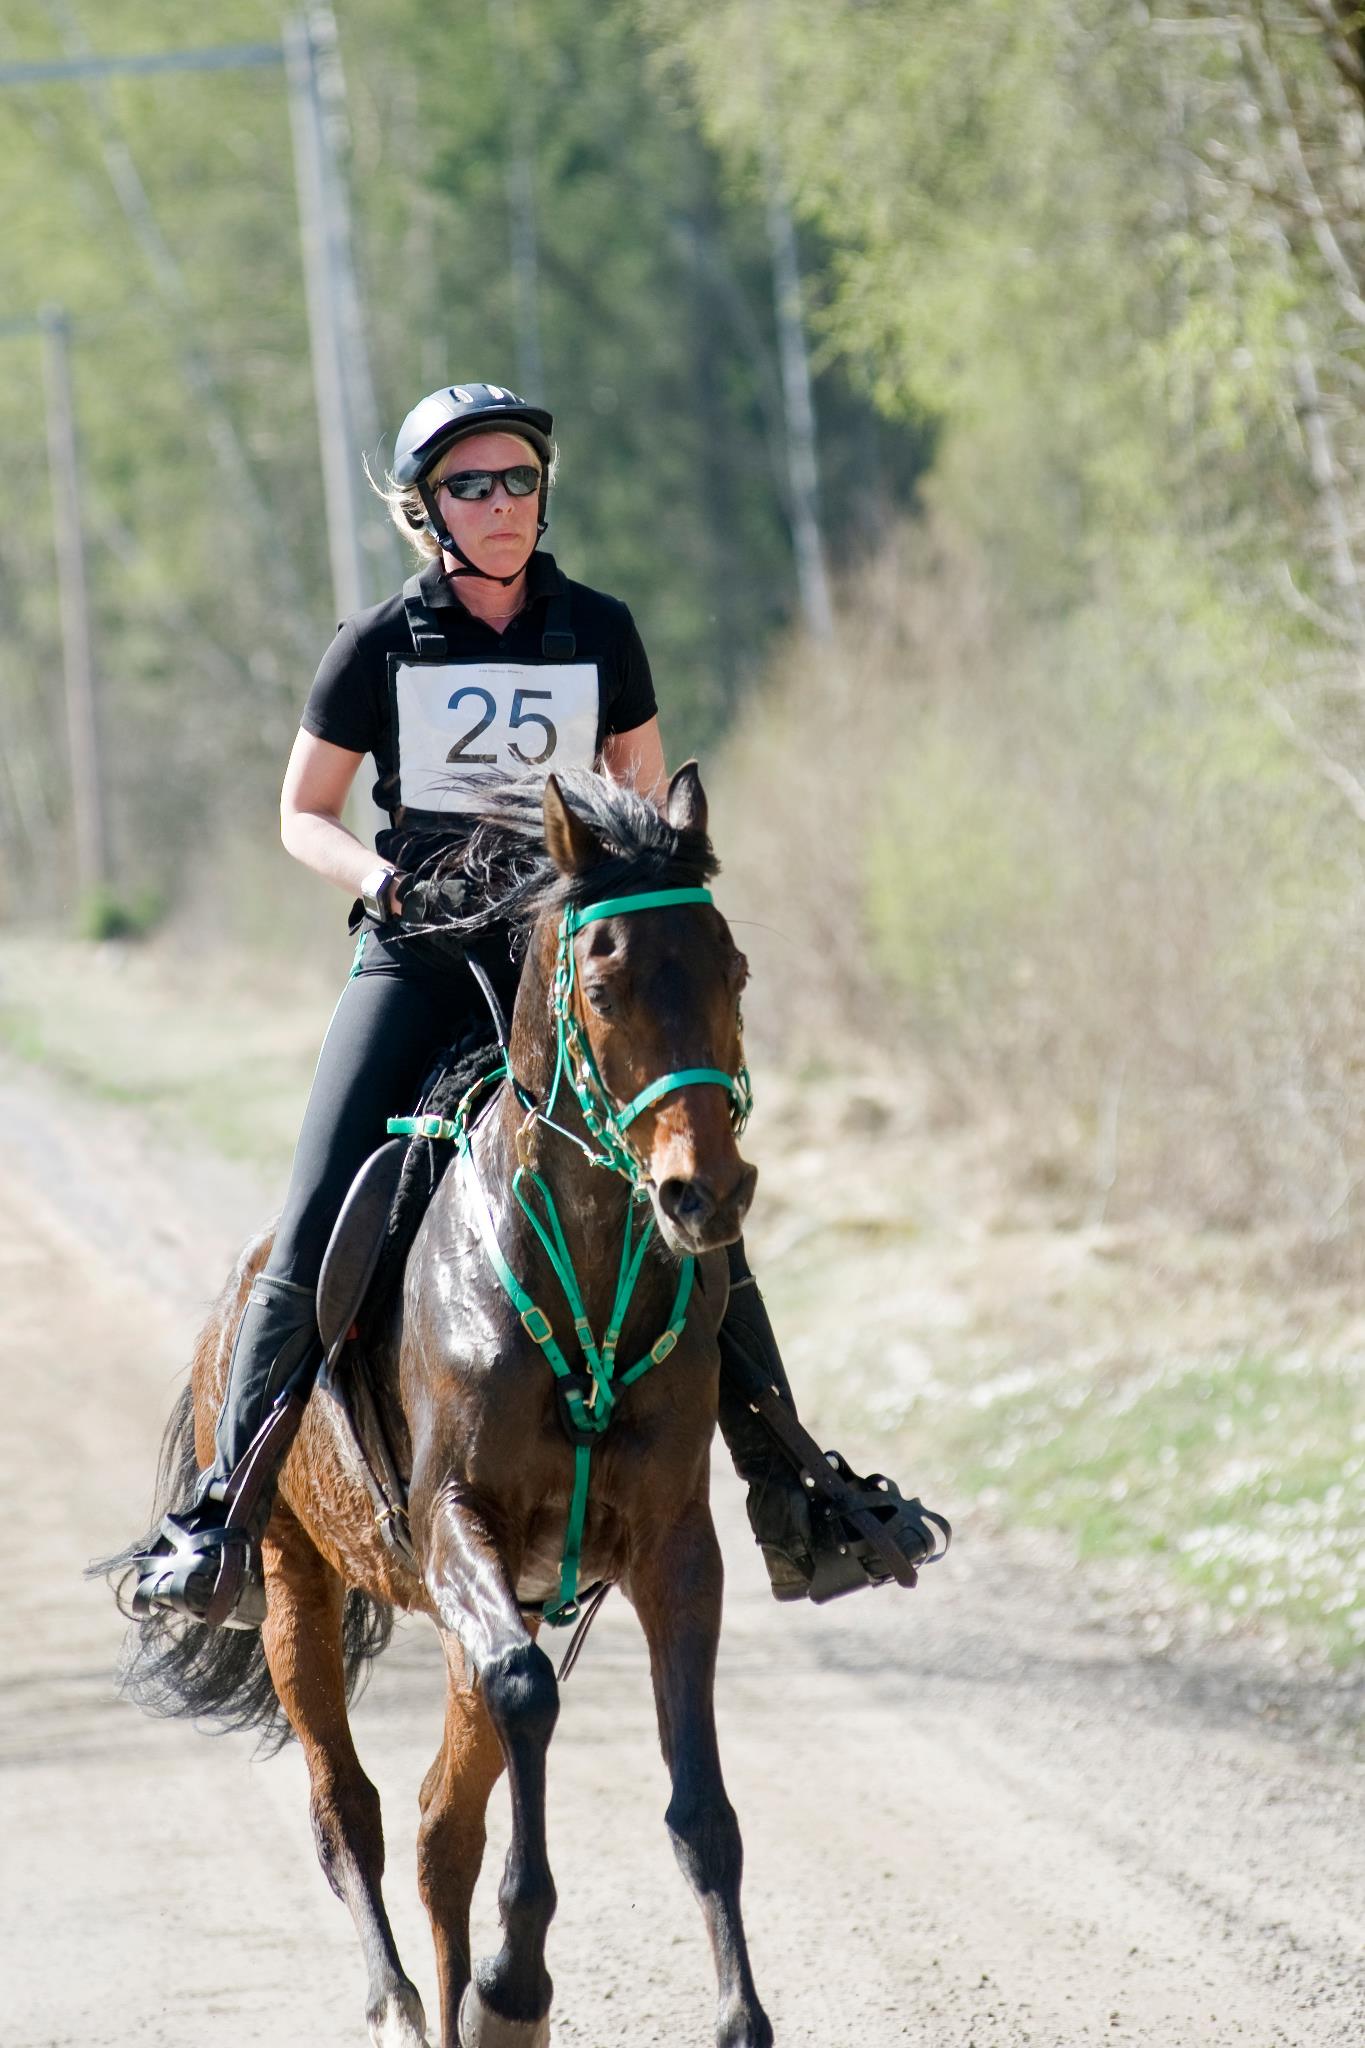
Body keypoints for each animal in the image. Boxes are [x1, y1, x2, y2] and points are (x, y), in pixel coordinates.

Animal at [102, 770, 773, 2048]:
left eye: (735, 969)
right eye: (603, 985)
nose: (702, 1194)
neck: (583, 1267)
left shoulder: (676, 1547)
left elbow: (702, 1799)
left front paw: (738, 2015)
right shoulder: (457, 1520)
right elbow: (527, 1696)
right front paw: (514, 1983)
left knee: (436, 1822)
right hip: (288, 1578)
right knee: (349, 1807)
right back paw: (408, 2004)